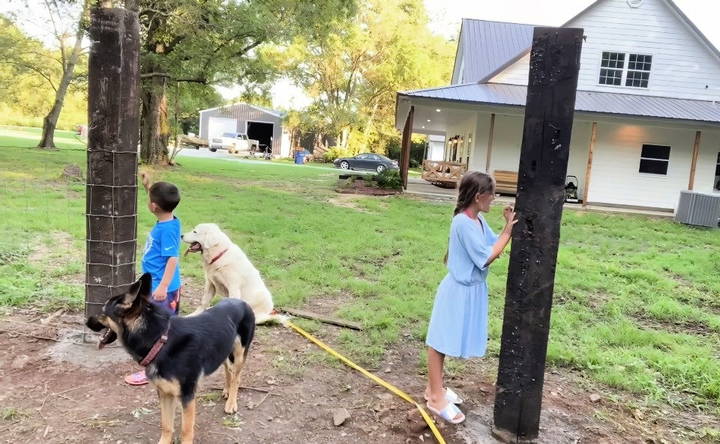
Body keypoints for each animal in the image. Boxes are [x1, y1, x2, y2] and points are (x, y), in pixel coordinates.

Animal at [86, 272, 256, 442]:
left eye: (103, 310)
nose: (86, 320)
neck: (160, 341)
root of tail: (241, 302)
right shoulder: (165, 393)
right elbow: (166, 425)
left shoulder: (187, 396)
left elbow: (186, 430)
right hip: (225, 349)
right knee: (228, 369)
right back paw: (226, 391)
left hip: (240, 353)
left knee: (236, 377)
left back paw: (231, 402)